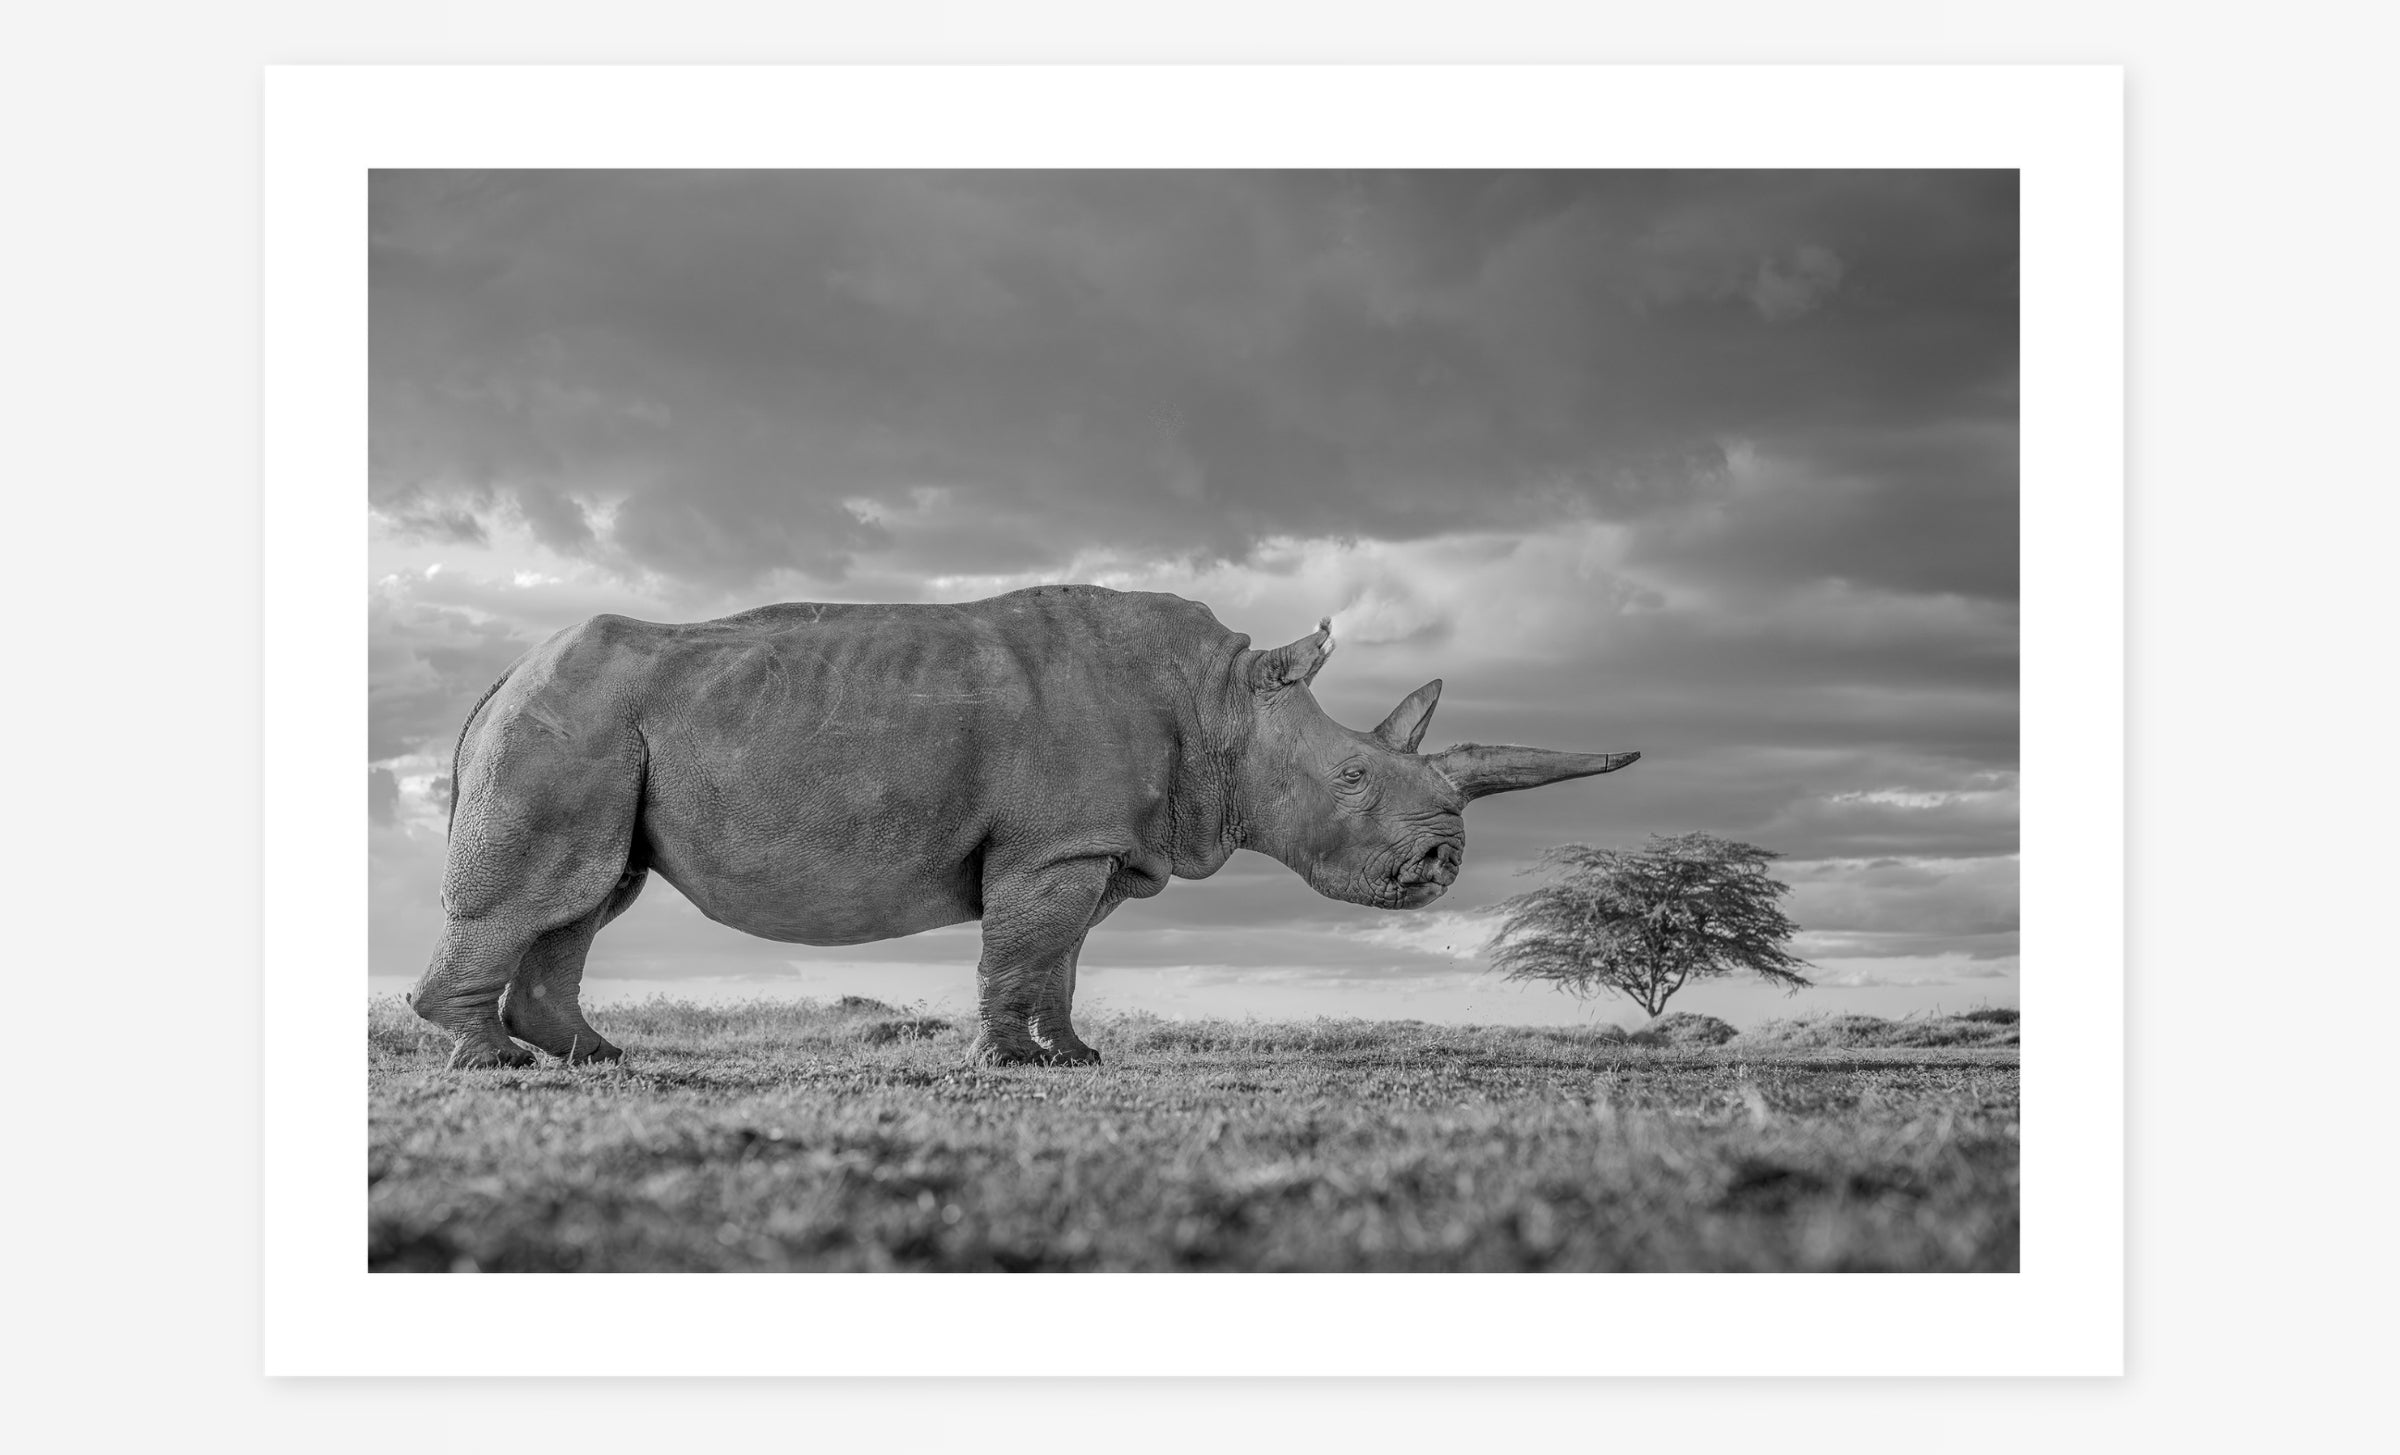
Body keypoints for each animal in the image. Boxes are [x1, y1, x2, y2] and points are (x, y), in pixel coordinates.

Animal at [410, 585, 1638, 1067]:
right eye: (1349, 776)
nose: (1442, 862)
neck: (1226, 704)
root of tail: (500, 675)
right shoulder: (1053, 844)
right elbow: (1023, 946)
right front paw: (1005, 1062)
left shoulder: (1094, 844)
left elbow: (1063, 955)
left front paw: (1076, 1057)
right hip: (569, 715)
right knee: (554, 888)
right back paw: (500, 1064)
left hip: (596, 724)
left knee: (592, 893)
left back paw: (594, 1058)